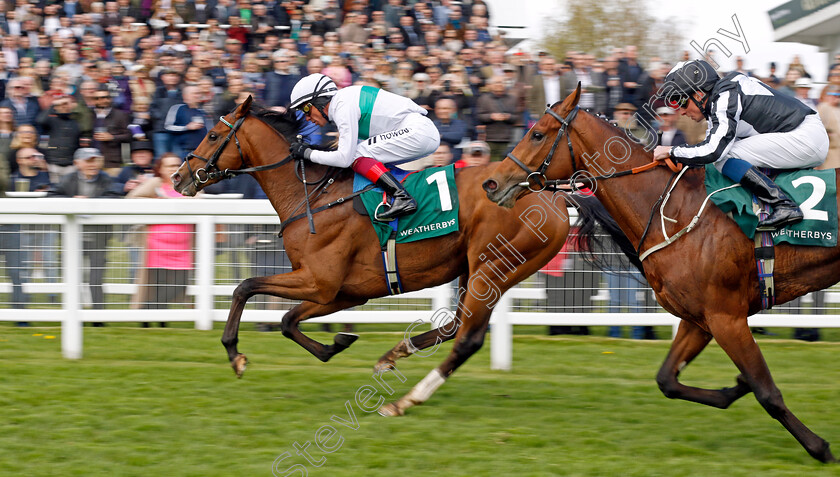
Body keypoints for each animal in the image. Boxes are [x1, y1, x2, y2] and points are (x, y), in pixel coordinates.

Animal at [171, 96, 628, 416]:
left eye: (213, 135)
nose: (178, 177)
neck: (313, 196)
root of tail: (553, 193)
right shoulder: (341, 291)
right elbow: (285, 320)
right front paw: (337, 343)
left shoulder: (319, 281)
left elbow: (246, 288)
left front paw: (236, 355)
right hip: (476, 268)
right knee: (454, 326)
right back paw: (394, 355)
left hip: (494, 266)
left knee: (468, 336)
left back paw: (405, 395)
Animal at [482, 83, 840, 460]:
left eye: (537, 134)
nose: (491, 183)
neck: (675, 209)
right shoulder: (700, 319)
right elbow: (668, 380)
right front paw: (734, 388)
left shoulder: (727, 317)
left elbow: (767, 392)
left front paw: (819, 448)